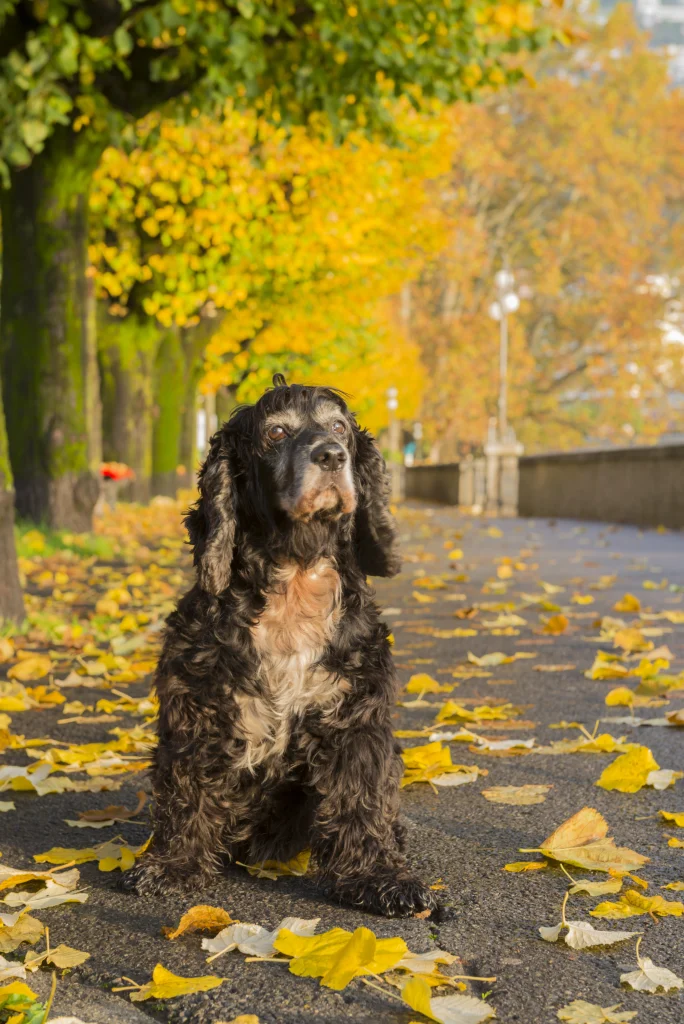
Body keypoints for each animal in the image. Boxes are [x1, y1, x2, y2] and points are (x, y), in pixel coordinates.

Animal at [129, 376, 444, 921]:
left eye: (338, 427)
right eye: (276, 432)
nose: (331, 455)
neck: (294, 587)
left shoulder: (356, 717)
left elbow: (360, 800)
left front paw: (378, 877)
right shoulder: (198, 708)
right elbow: (188, 790)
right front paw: (173, 865)